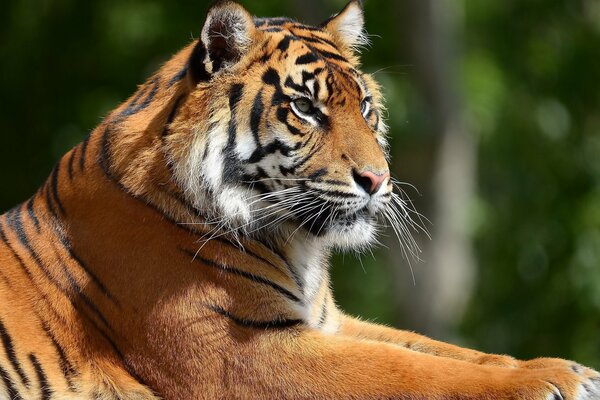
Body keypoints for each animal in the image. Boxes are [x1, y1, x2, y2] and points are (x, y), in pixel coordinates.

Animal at [1, 0, 600, 396]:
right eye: (306, 108)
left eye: (365, 107)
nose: (378, 179)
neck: (295, 244)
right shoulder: (245, 351)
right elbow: (407, 369)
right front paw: (548, 379)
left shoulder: (329, 323)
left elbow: (441, 349)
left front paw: (569, 369)